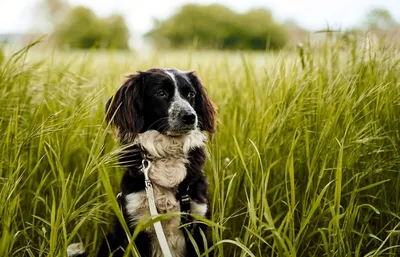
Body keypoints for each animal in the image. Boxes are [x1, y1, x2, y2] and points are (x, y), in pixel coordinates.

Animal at [98, 67, 217, 255]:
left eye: (191, 94)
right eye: (160, 93)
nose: (190, 116)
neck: (168, 154)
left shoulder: (198, 222)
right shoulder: (136, 224)